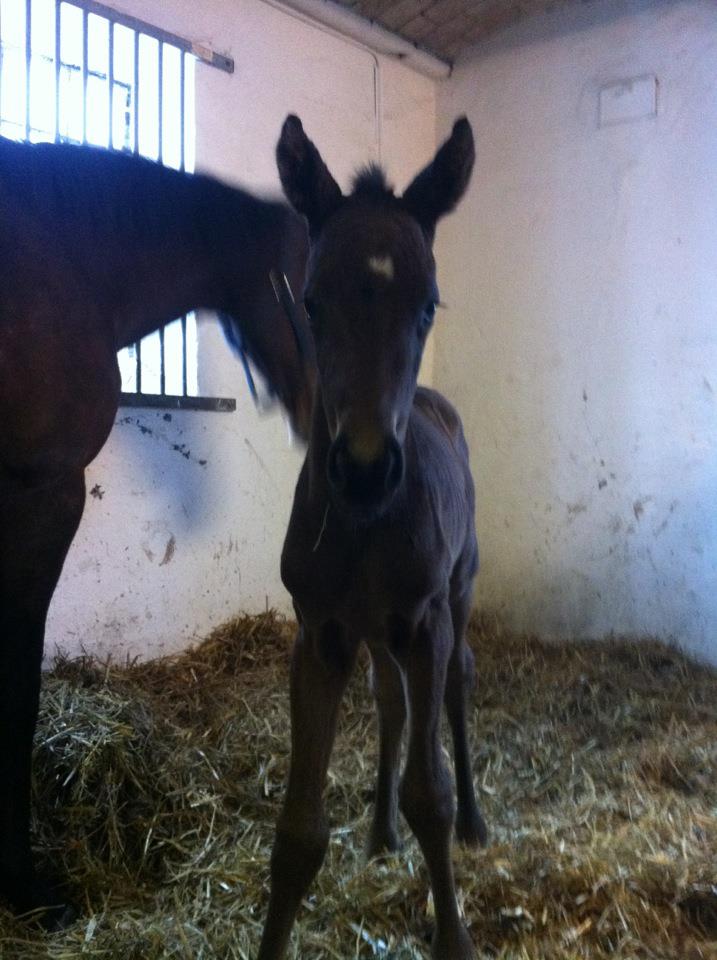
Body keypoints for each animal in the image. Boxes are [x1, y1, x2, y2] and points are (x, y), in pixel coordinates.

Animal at [0, 135, 314, 924]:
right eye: (312, 291)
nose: (322, 409)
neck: (71, 257)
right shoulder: (43, 495)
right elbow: (18, 688)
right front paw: (25, 884)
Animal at [258, 114, 486, 960]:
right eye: (311, 302)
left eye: (427, 306)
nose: (361, 469)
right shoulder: (319, 634)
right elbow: (297, 832)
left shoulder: (423, 621)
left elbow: (433, 796)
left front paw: (453, 936)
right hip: (376, 634)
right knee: (390, 703)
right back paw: (381, 830)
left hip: (454, 596)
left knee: (454, 687)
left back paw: (477, 823)